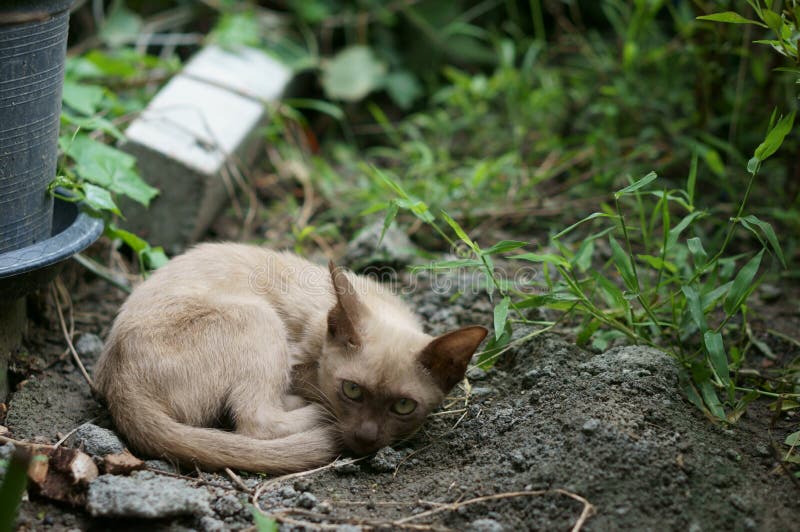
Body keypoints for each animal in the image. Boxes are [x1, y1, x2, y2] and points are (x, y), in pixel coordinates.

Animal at [90, 243, 484, 472]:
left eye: (403, 406)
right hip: (260, 317)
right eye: (352, 390)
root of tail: (119, 386)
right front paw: (320, 405)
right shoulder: (298, 361)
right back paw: (315, 413)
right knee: (254, 422)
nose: (366, 438)